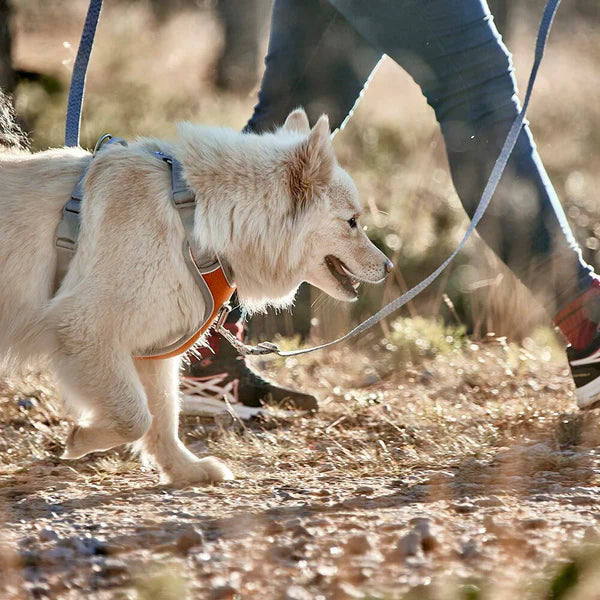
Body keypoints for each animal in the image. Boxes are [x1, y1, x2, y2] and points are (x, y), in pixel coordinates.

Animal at [0, 108, 390, 482]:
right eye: (352, 221)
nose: (388, 266)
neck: (193, 219)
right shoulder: (84, 330)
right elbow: (136, 417)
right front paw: (80, 439)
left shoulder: (151, 351)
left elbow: (162, 417)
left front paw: (184, 470)